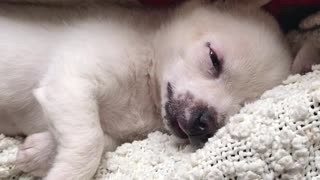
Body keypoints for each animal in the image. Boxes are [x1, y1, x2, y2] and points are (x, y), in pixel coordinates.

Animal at [0, 0, 312, 180]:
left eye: (243, 106)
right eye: (213, 58)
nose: (205, 122)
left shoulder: (99, 118)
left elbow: (102, 139)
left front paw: (40, 153)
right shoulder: (70, 82)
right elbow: (89, 141)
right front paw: (64, 171)